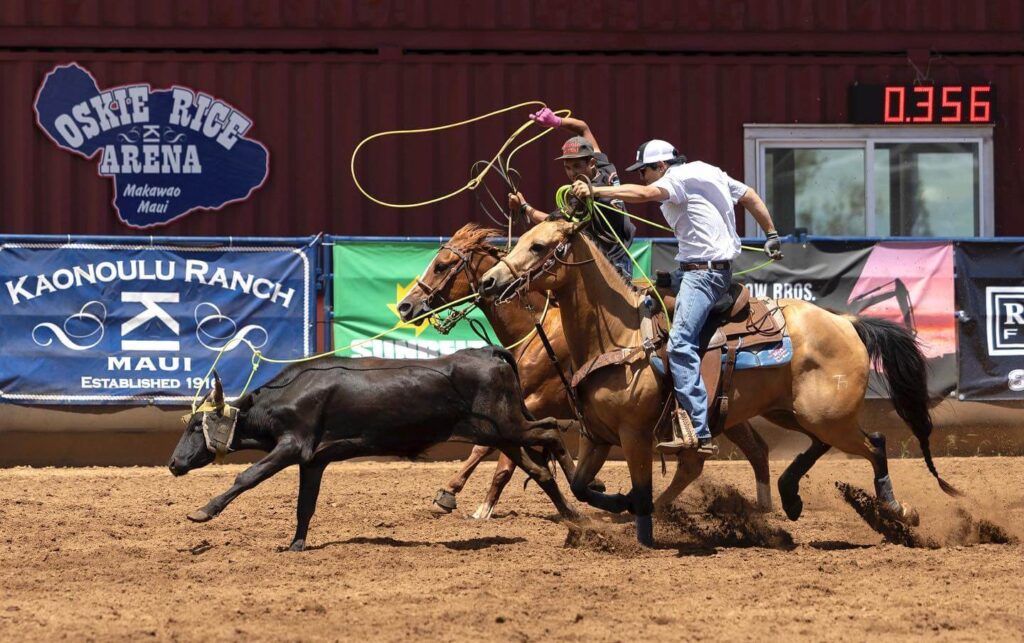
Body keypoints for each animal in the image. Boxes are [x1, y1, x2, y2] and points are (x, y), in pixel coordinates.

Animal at [397, 223, 773, 519]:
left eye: (442, 266)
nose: (405, 306)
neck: (538, 331)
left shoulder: (535, 403)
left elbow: (495, 454)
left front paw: (469, 501)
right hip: (727, 412)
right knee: (756, 449)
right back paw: (765, 508)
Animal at [478, 219, 959, 547]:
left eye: (539, 245)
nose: (489, 280)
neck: (618, 336)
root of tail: (847, 322)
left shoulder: (634, 435)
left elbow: (640, 487)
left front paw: (640, 529)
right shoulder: (596, 437)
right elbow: (581, 486)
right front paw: (616, 504)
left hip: (825, 415)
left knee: (874, 444)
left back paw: (898, 511)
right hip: (791, 411)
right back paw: (789, 496)